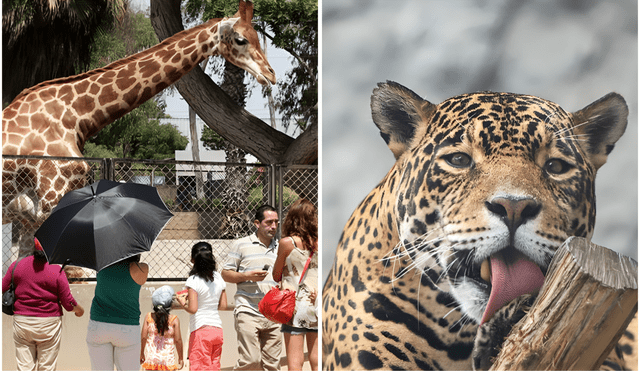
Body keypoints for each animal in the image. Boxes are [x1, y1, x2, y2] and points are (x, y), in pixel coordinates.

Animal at [1, 0, 278, 258]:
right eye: (241, 39)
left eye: (257, 37)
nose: (271, 74)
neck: (76, 115)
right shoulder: (50, 202)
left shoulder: (31, 216)